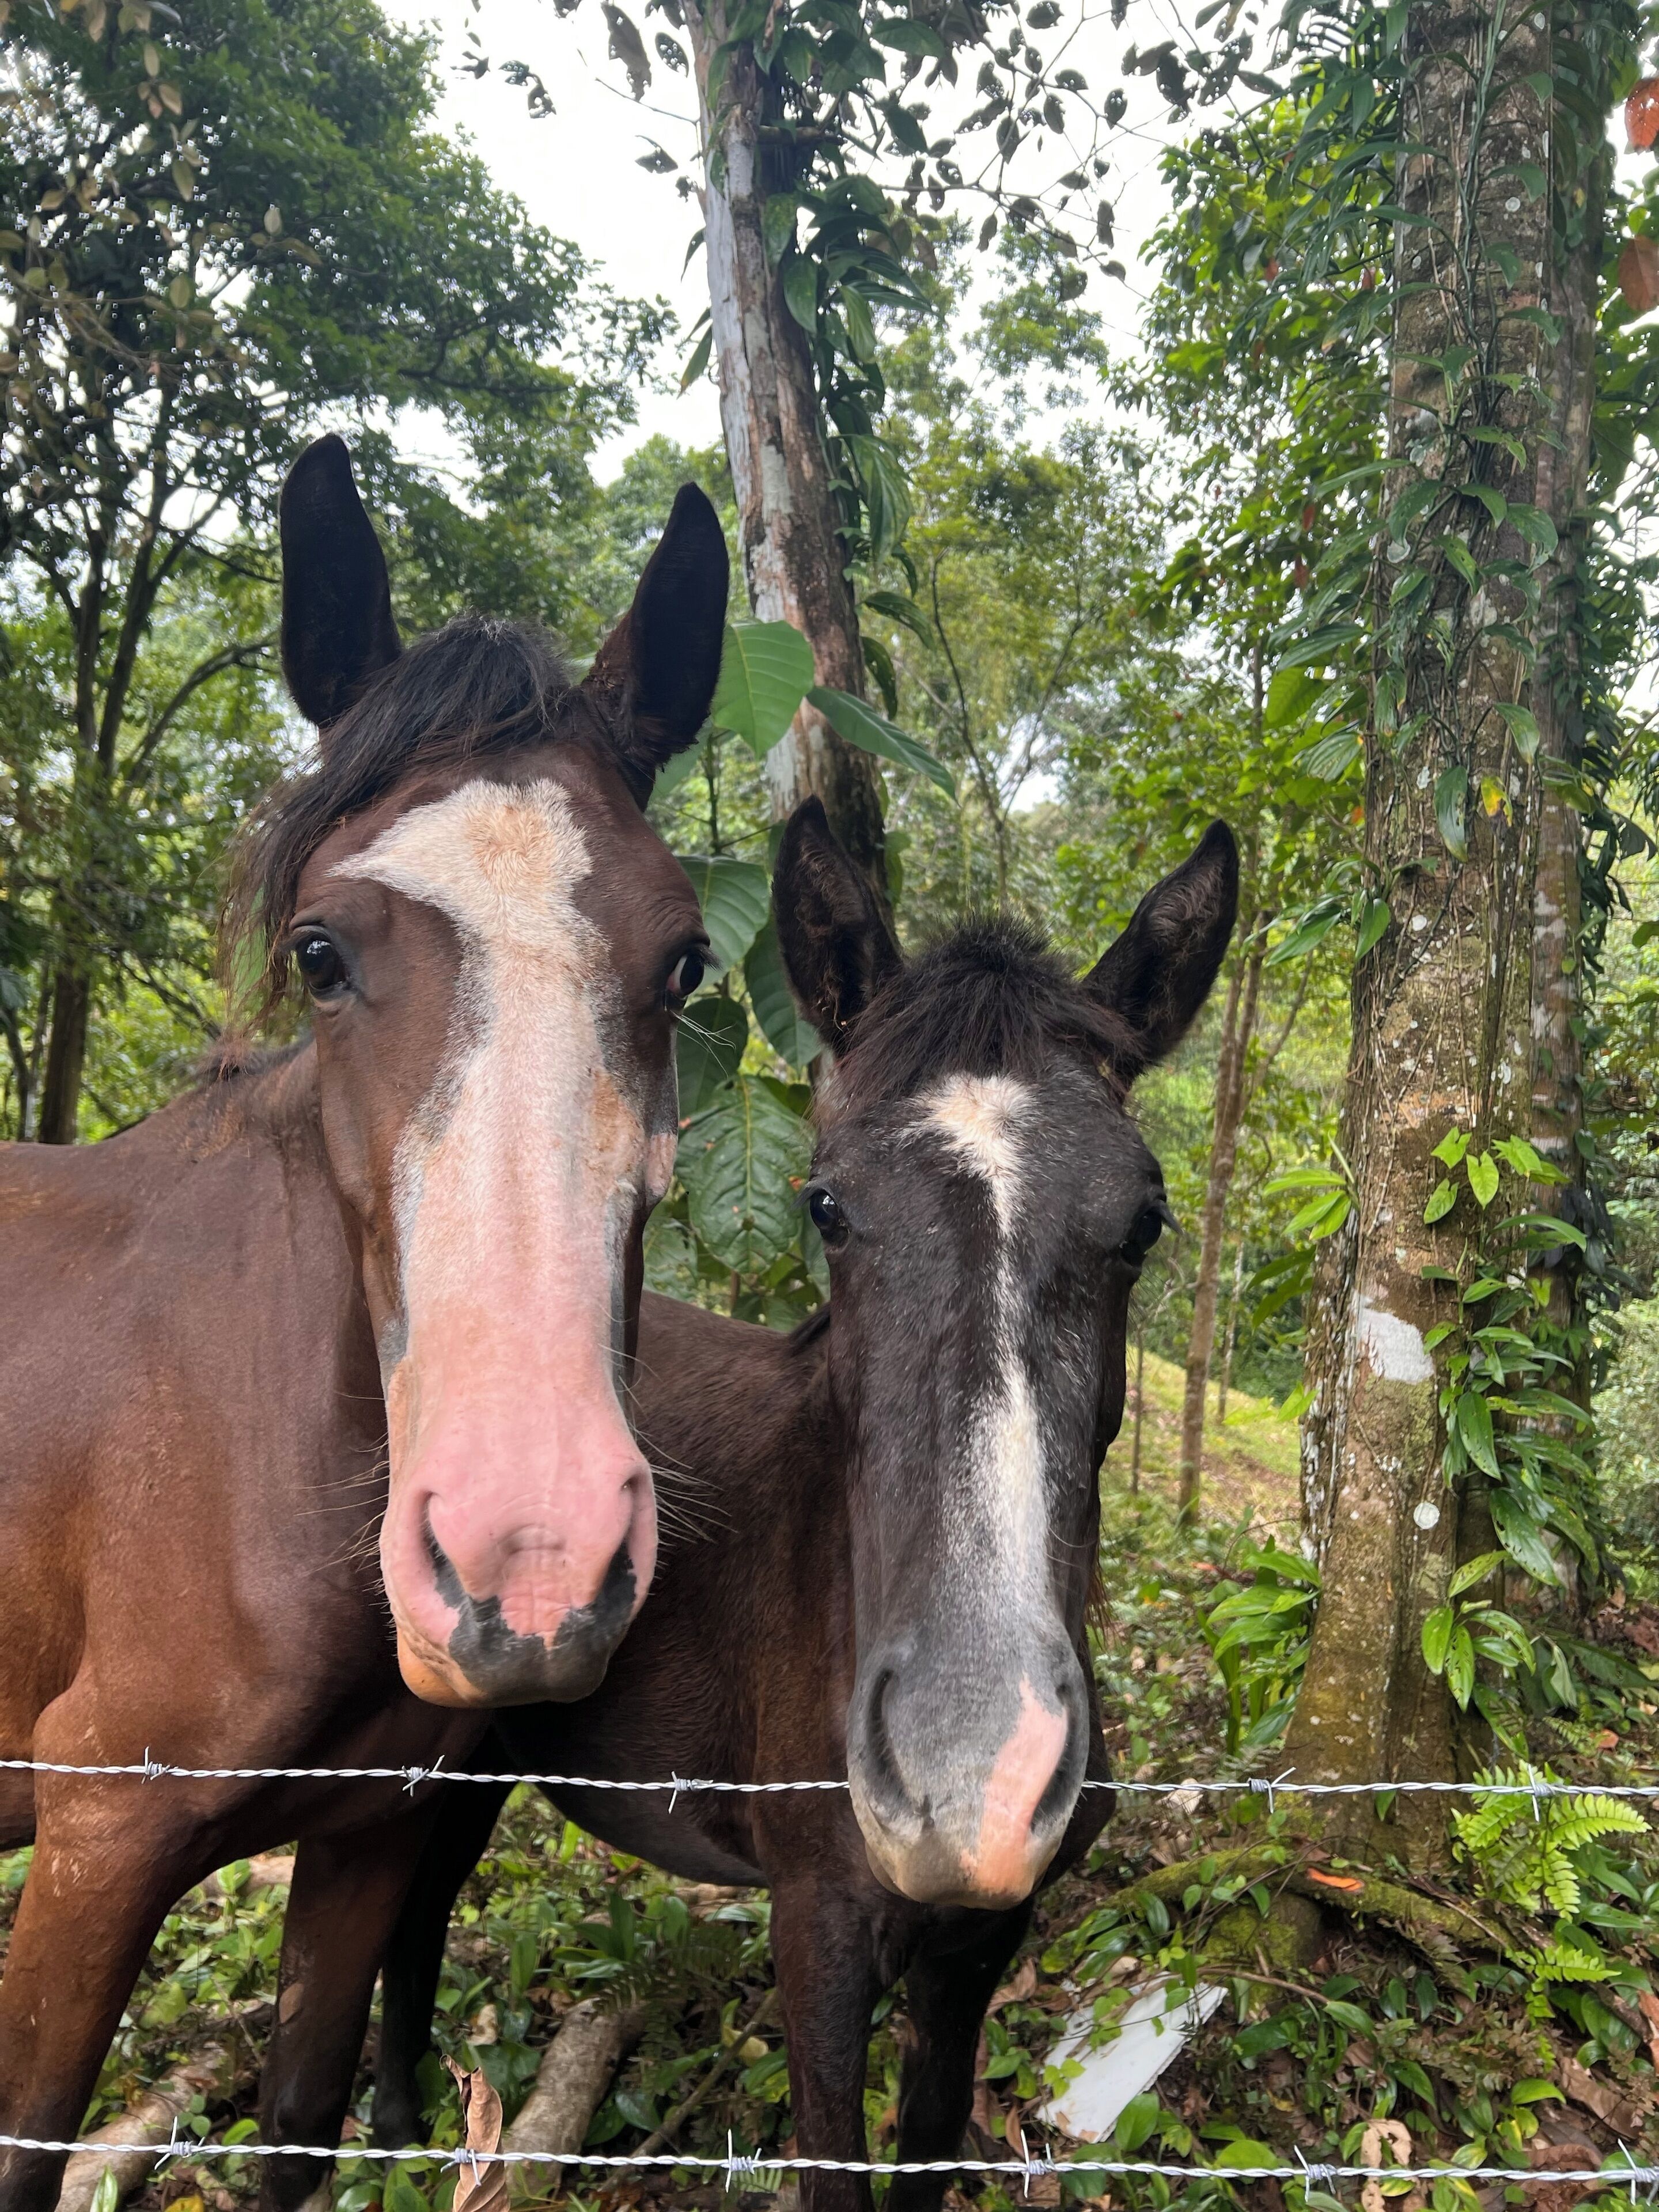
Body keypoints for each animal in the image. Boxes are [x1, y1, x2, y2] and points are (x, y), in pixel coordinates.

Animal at [0, 435, 729, 2212]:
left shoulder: (369, 1841)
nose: (528, 1561)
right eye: (322, 953)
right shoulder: (94, 1845)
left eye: (683, 962)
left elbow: (297, 2133)